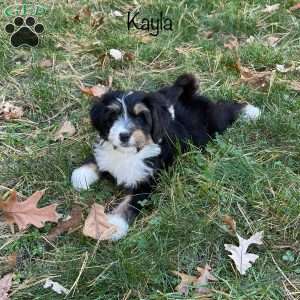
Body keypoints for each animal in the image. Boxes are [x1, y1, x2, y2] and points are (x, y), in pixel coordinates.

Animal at [71, 74, 260, 240]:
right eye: (112, 116)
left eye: (141, 117)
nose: (123, 135)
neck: (130, 153)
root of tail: (189, 97)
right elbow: (98, 158)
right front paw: (82, 174)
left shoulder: (146, 184)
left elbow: (129, 204)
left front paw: (115, 225)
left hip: (214, 122)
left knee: (223, 110)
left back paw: (250, 111)